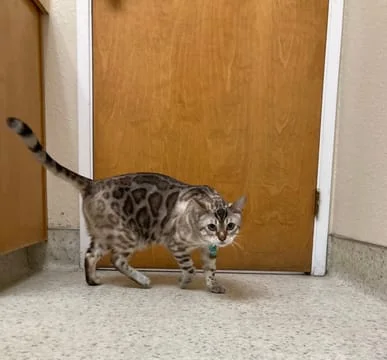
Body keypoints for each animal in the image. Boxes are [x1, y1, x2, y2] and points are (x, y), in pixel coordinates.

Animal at [6, 116, 246, 294]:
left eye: (230, 226)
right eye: (212, 226)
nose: (222, 238)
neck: (201, 238)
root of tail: (93, 183)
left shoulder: (208, 250)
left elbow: (210, 270)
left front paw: (213, 286)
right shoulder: (175, 244)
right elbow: (190, 267)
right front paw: (185, 283)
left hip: (104, 235)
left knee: (90, 255)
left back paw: (94, 280)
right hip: (129, 235)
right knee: (117, 259)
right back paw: (142, 280)